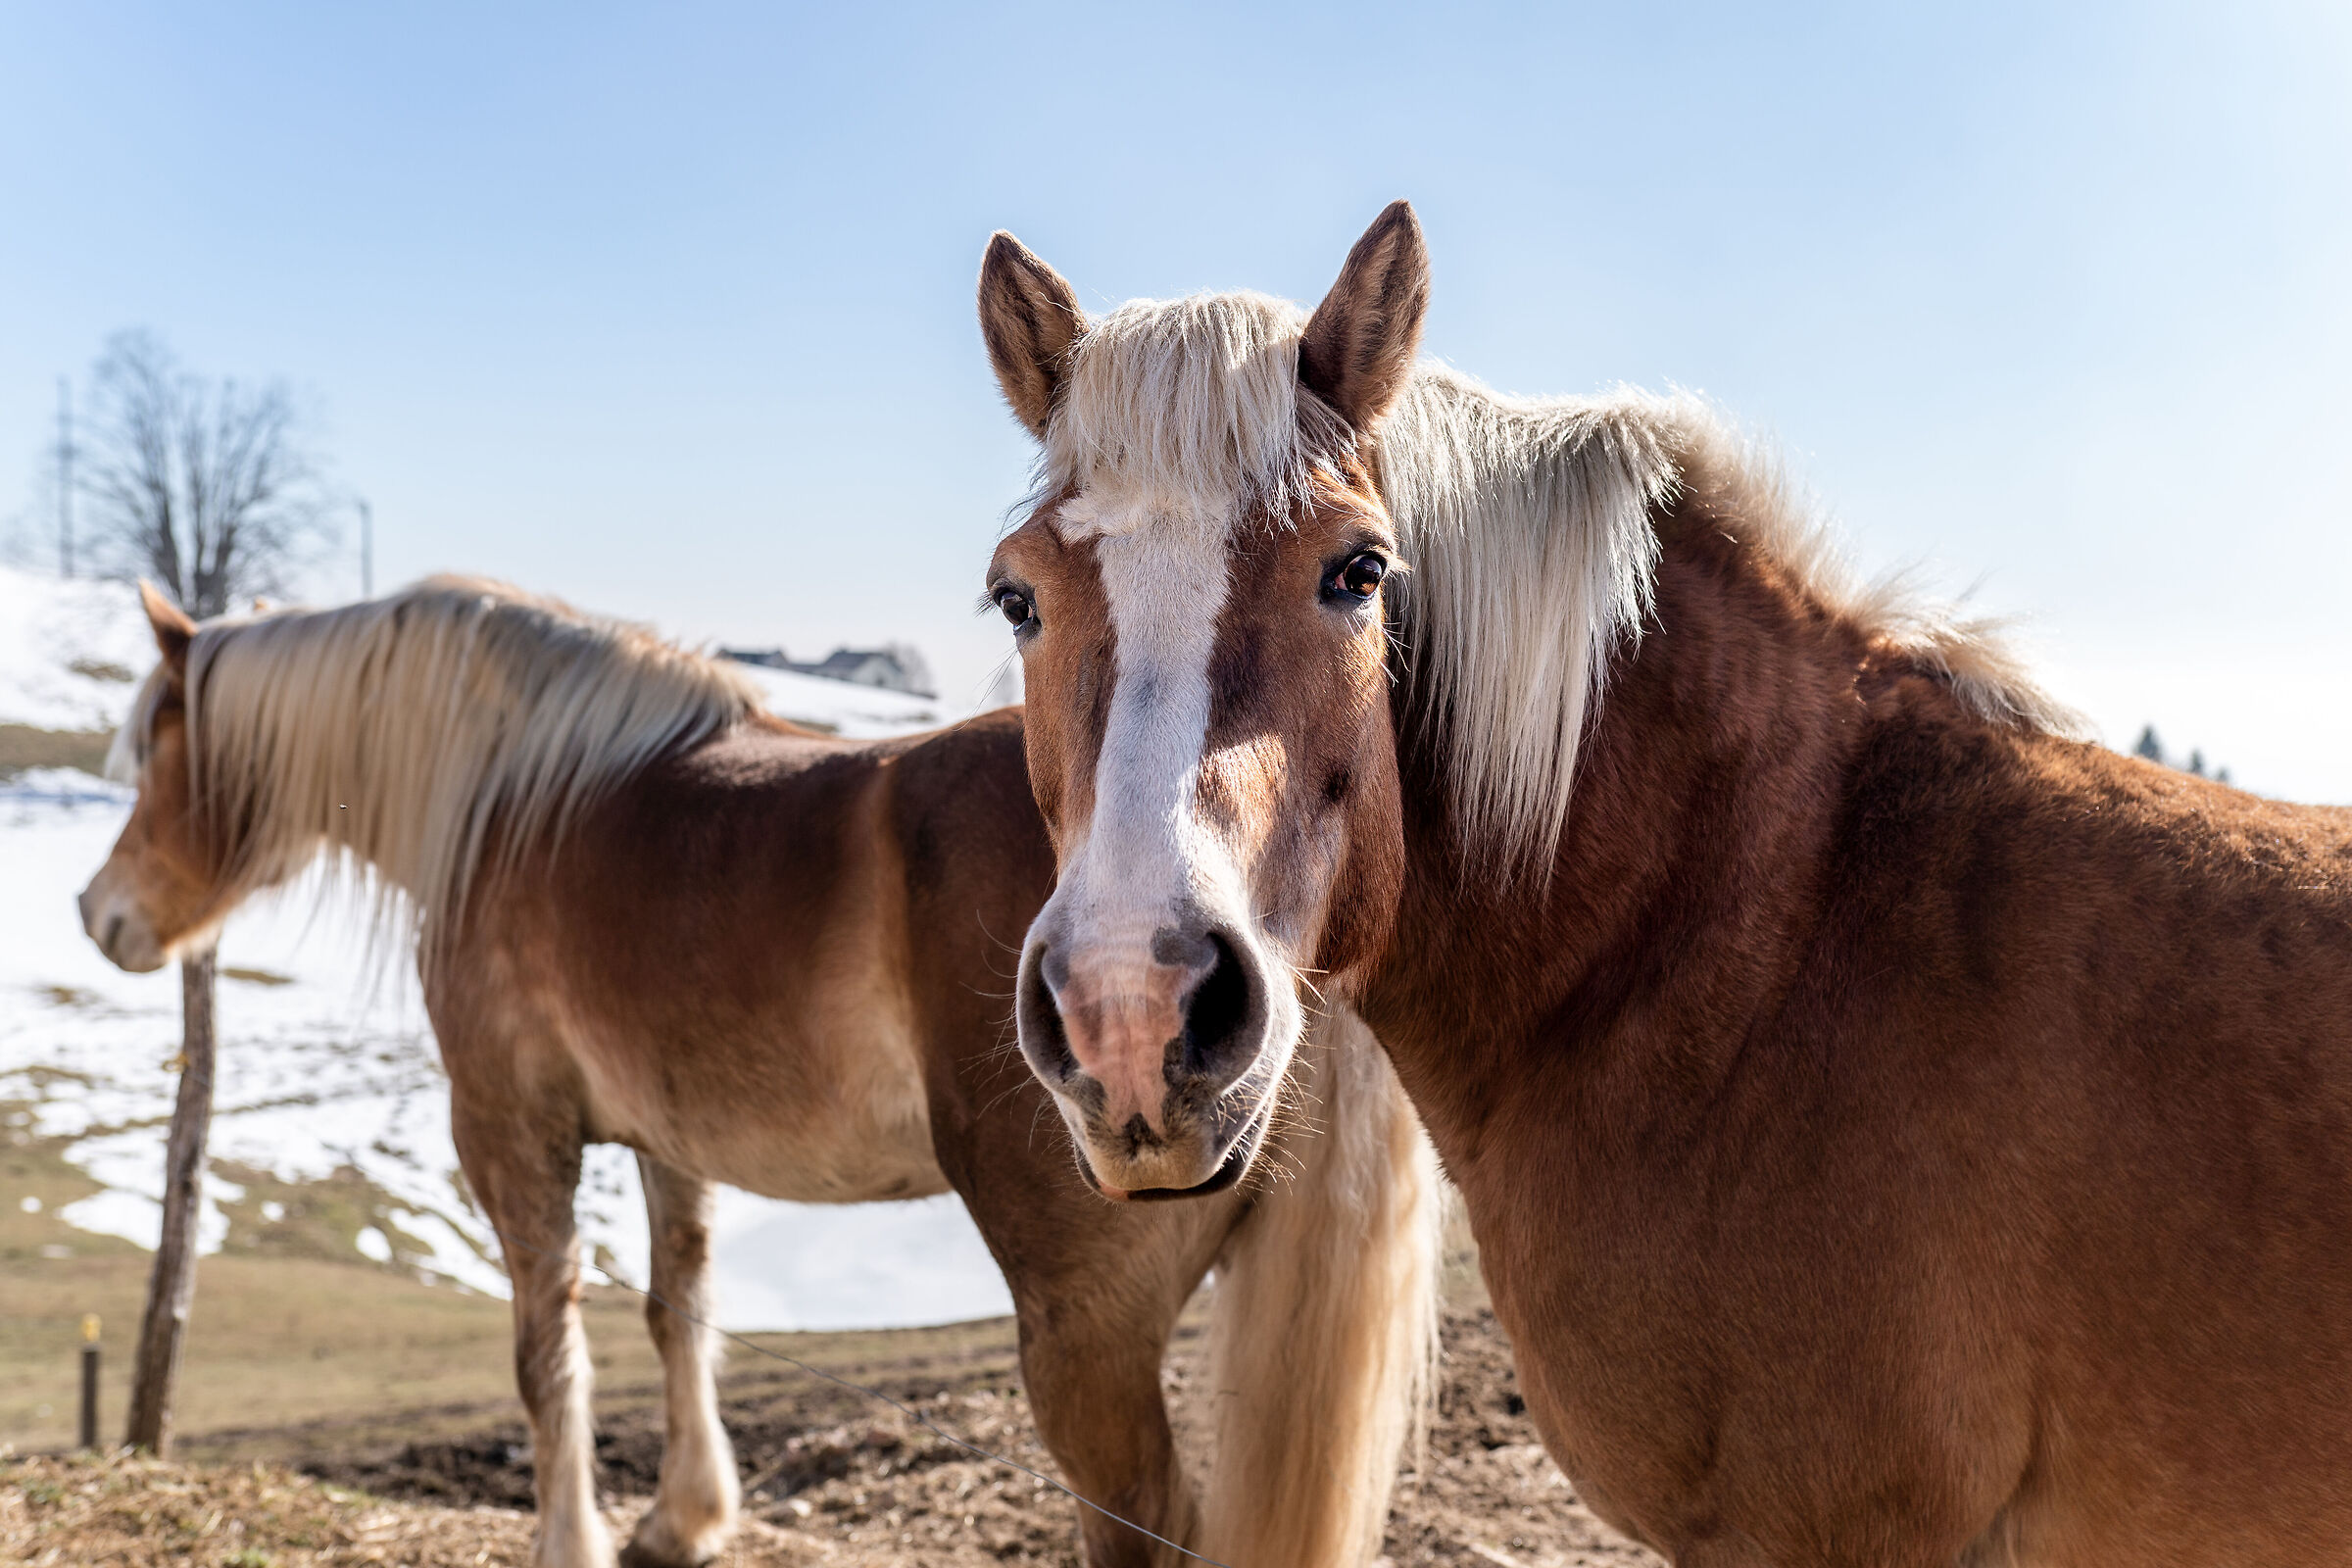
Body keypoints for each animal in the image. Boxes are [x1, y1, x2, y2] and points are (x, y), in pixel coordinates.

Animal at [76, 576, 1440, 1568]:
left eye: (157, 742)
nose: (100, 915)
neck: (519, 797)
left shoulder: (510, 1131)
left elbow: (545, 1347)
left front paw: (571, 1539)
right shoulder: (665, 1140)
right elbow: (674, 1309)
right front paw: (682, 1520)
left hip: (1085, 1331)